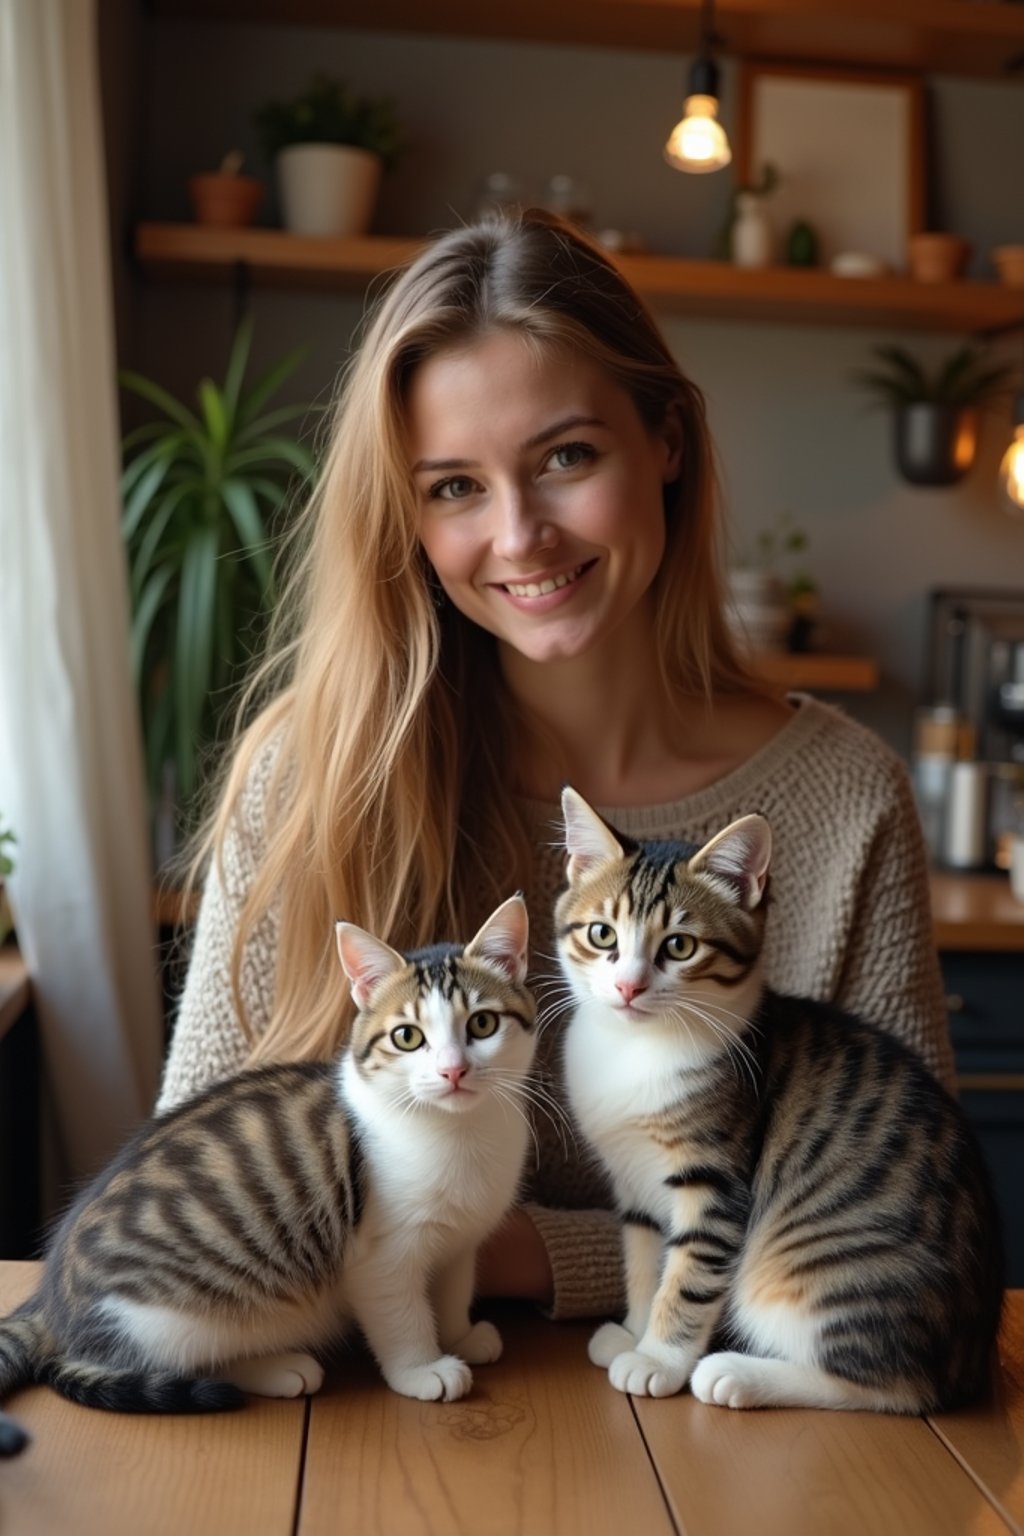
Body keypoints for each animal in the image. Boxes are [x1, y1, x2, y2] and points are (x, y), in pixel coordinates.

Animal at [0, 897, 540, 1456]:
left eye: (482, 1024)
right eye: (407, 1037)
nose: (453, 1071)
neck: (460, 1135)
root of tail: (52, 1299)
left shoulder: (460, 1241)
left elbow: (453, 1289)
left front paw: (459, 1334)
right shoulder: (381, 1256)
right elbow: (401, 1315)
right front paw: (422, 1368)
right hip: (170, 1319)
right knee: (183, 1359)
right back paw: (281, 1367)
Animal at [555, 792, 1007, 1413]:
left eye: (679, 945)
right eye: (602, 935)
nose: (628, 987)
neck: (636, 1048)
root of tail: (972, 1357)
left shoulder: (716, 1181)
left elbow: (687, 1277)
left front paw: (657, 1360)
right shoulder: (634, 1186)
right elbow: (646, 1261)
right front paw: (633, 1330)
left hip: (822, 1270)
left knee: (896, 1387)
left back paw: (736, 1375)